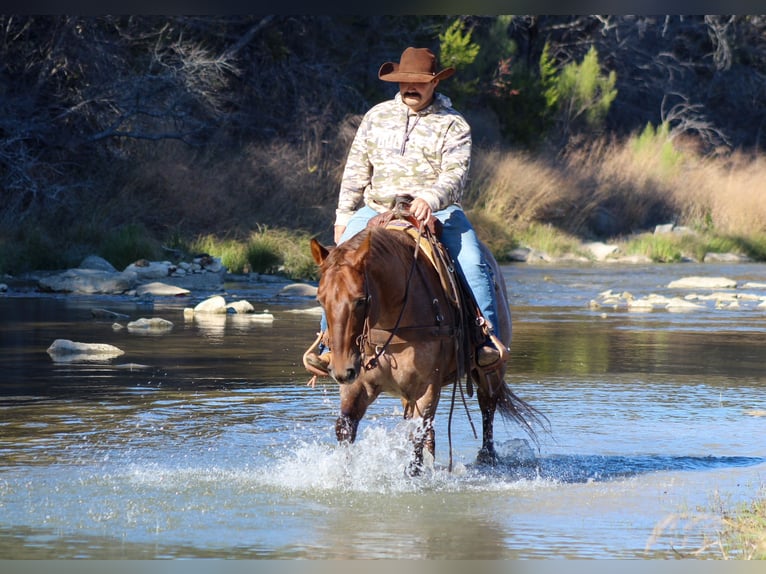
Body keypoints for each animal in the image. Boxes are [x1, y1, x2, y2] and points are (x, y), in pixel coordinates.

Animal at [307, 212, 542, 473]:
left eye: (360, 299)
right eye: (320, 299)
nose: (341, 370)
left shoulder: (427, 386)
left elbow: (417, 440)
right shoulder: (357, 385)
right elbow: (345, 428)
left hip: (491, 372)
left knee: (487, 407)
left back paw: (486, 457)